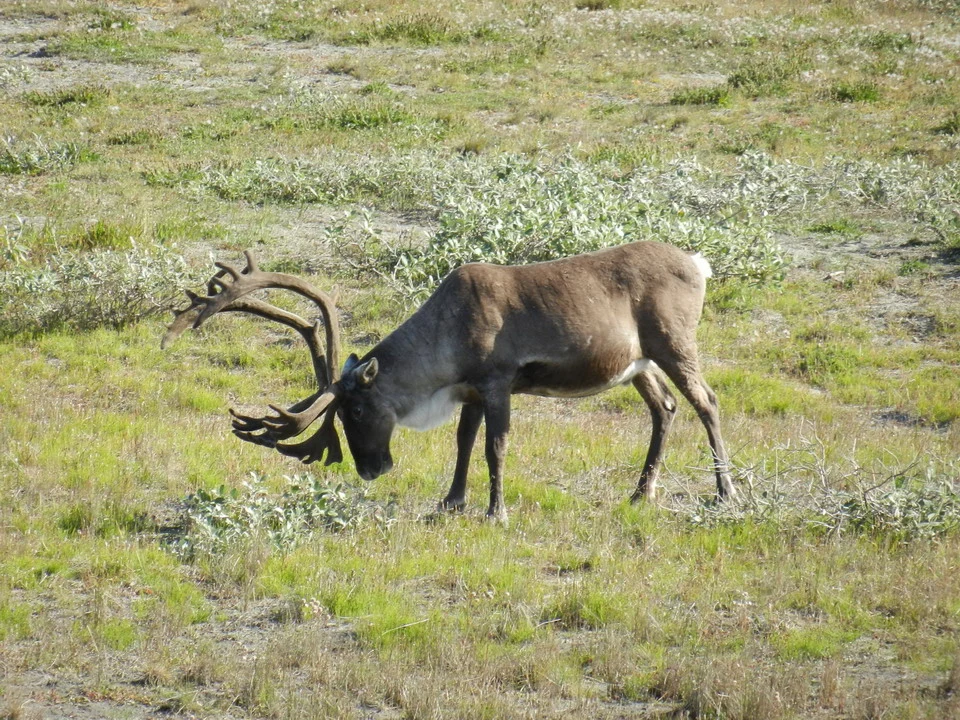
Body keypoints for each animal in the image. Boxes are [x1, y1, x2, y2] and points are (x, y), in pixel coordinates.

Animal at [163, 241, 735, 523]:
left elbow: (494, 447)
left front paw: (495, 512)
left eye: (356, 410)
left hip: (673, 343)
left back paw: (725, 493)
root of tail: (698, 263)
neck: (446, 336)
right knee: (665, 409)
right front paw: (451, 501)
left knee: (707, 402)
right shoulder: (471, 392)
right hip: (637, 365)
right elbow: (462, 442)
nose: (370, 470)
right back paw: (641, 493)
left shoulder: (498, 381)